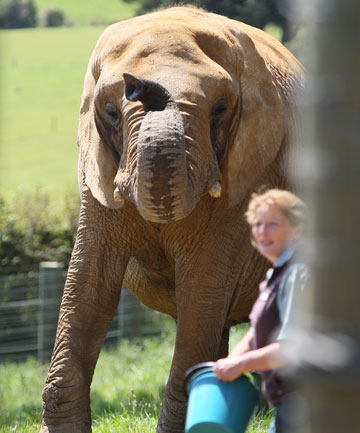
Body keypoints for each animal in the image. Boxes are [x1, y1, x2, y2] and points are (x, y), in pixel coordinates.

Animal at [39, 4, 304, 432]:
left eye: (220, 109)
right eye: (111, 111)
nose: (137, 84)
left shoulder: (249, 171)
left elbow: (203, 285)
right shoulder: (96, 177)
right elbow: (88, 284)